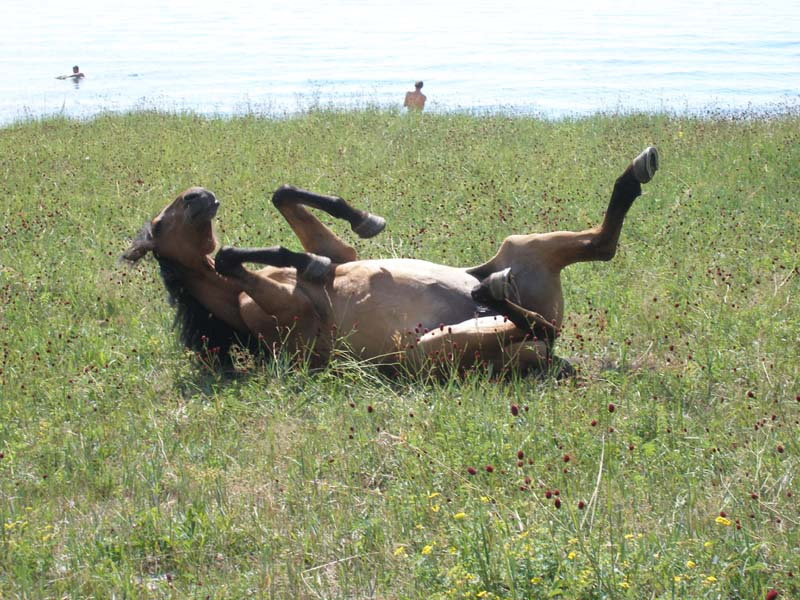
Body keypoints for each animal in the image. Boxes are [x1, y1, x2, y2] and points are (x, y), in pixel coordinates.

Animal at [122, 147, 659, 375]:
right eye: (161, 224)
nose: (197, 194)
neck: (233, 311)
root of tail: (547, 358)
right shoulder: (287, 315)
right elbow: (231, 256)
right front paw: (309, 263)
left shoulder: (344, 256)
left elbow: (285, 197)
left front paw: (362, 219)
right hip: (432, 348)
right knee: (545, 320)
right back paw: (489, 291)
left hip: (522, 245)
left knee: (600, 246)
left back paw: (639, 169)